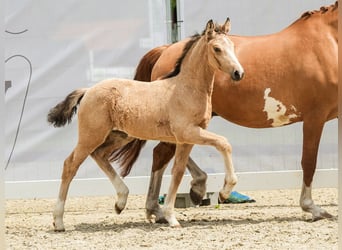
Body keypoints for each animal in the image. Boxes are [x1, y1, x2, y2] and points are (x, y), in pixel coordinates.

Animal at [48, 19, 244, 230]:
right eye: (217, 48)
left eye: (232, 46)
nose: (238, 73)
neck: (185, 89)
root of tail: (88, 90)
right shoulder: (188, 132)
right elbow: (223, 143)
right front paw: (224, 191)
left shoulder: (185, 139)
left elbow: (178, 172)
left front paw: (172, 214)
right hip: (91, 136)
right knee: (70, 165)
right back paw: (59, 221)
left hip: (119, 136)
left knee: (99, 154)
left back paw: (120, 202)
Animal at [113, 1, 340, 221]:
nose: (238, 73)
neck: (330, 42)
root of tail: (165, 49)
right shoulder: (314, 117)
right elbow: (309, 162)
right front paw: (312, 208)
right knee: (162, 153)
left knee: (163, 153)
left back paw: (165, 204)